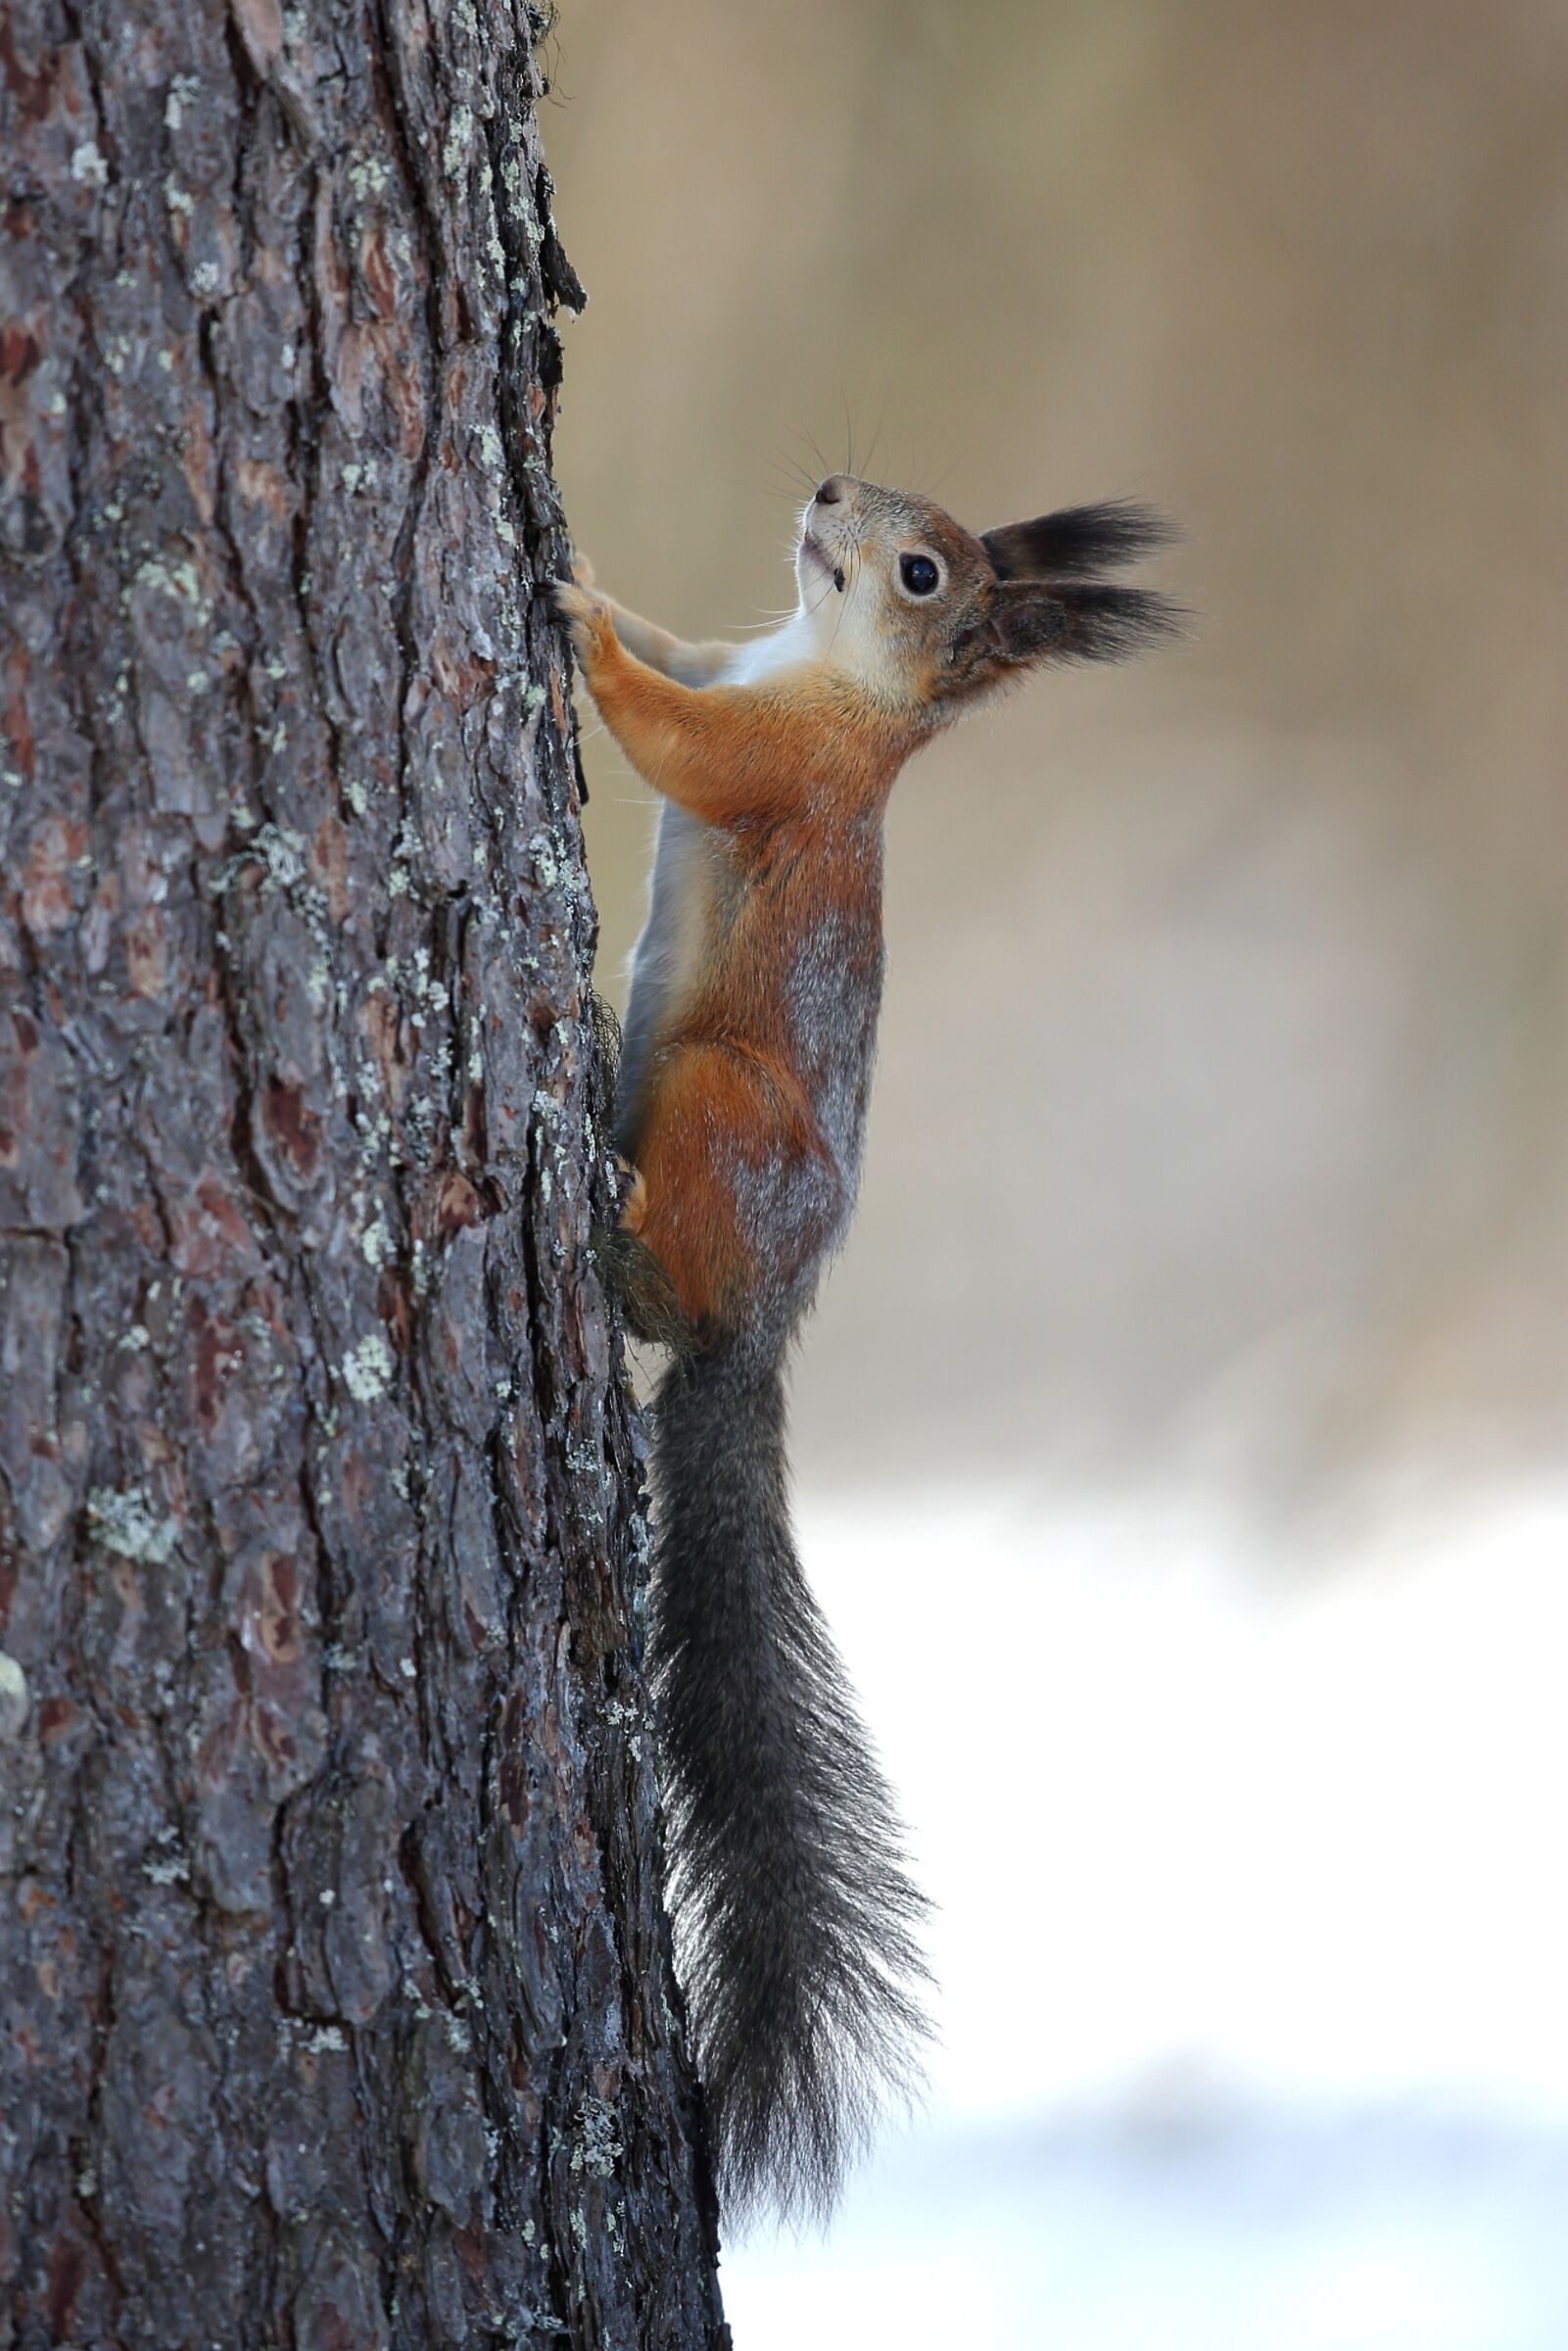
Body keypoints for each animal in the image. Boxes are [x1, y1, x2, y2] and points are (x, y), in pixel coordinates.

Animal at [554, 474, 1178, 2222]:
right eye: (907, 520)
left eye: (916, 573)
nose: (826, 491)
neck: (821, 667)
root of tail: (757, 1329)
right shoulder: (741, 657)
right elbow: (687, 652)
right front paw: (598, 576)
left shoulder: (784, 766)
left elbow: (683, 746)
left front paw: (575, 627)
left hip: (719, 1104)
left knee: (663, 1273)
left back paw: (623, 1224)